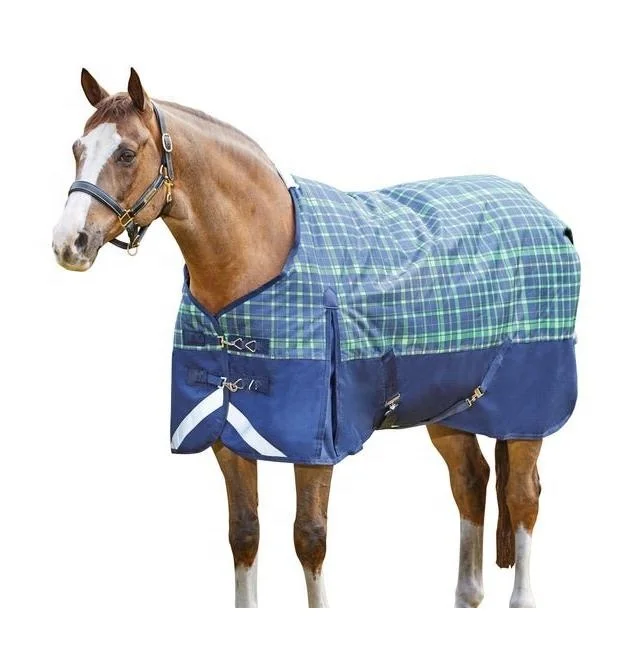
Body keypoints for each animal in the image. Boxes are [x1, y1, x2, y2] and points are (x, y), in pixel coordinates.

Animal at [52, 69, 579, 608]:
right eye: (77, 148)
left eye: (127, 153)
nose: (68, 243)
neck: (259, 258)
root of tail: (539, 210)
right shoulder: (226, 428)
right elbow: (244, 533)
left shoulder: (315, 440)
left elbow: (309, 537)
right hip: (450, 406)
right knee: (471, 481)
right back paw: (467, 595)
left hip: (525, 408)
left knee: (522, 495)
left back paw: (521, 599)